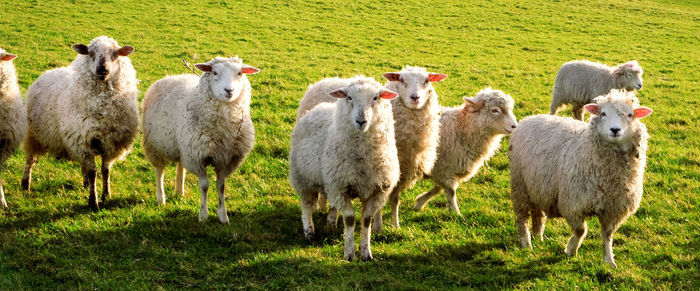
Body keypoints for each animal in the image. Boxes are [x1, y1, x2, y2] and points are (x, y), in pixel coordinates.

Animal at [21, 36, 139, 211]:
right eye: (90, 53)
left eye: (115, 54)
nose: (102, 70)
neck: (103, 109)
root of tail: (49, 71)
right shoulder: (84, 141)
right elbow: (93, 173)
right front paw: (93, 201)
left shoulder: (109, 143)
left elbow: (105, 171)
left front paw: (106, 195)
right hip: (34, 134)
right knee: (30, 159)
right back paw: (25, 184)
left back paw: (85, 184)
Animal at [142, 56, 260, 224]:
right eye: (215, 72)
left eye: (239, 73)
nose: (229, 90)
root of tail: (171, 76)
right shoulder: (198, 158)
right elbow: (204, 186)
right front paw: (203, 214)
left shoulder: (225, 159)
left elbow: (221, 186)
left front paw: (223, 215)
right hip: (155, 146)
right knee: (159, 171)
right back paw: (160, 198)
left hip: (183, 146)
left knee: (180, 165)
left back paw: (179, 191)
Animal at [288, 76, 400, 262]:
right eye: (349, 97)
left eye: (375, 98)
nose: (361, 121)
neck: (362, 159)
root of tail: (318, 107)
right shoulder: (340, 188)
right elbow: (349, 220)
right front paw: (349, 253)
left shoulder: (377, 190)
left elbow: (366, 220)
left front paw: (366, 252)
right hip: (302, 178)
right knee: (307, 204)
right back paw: (309, 230)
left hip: (328, 182)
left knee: (331, 204)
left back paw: (331, 222)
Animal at [508, 90, 652, 268]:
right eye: (603, 113)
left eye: (630, 115)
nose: (615, 130)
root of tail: (529, 118)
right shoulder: (572, 203)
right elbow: (581, 230)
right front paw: (571, 250)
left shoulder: (613, 209)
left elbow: (607, 235)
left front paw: (609, 260)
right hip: (519, 185)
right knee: (522, 216)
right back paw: (526, 243)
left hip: (537, 186)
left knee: (537, 213)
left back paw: (538, 236)